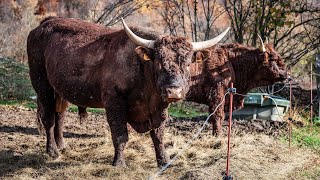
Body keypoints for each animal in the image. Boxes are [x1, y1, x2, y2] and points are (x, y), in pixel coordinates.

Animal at [26, 16, 228, 166]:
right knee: (49, 118)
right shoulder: (114, 102)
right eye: (159, 62)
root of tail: (43, 25)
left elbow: (158, 135)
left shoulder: (159, 107)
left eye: (187, 63)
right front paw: (119, 163)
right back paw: (52, 151)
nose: (173, 91)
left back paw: (62, 145)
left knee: (60, 115)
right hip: (41, 84)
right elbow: (120, 134)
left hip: (59, 89)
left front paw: (164, 161)